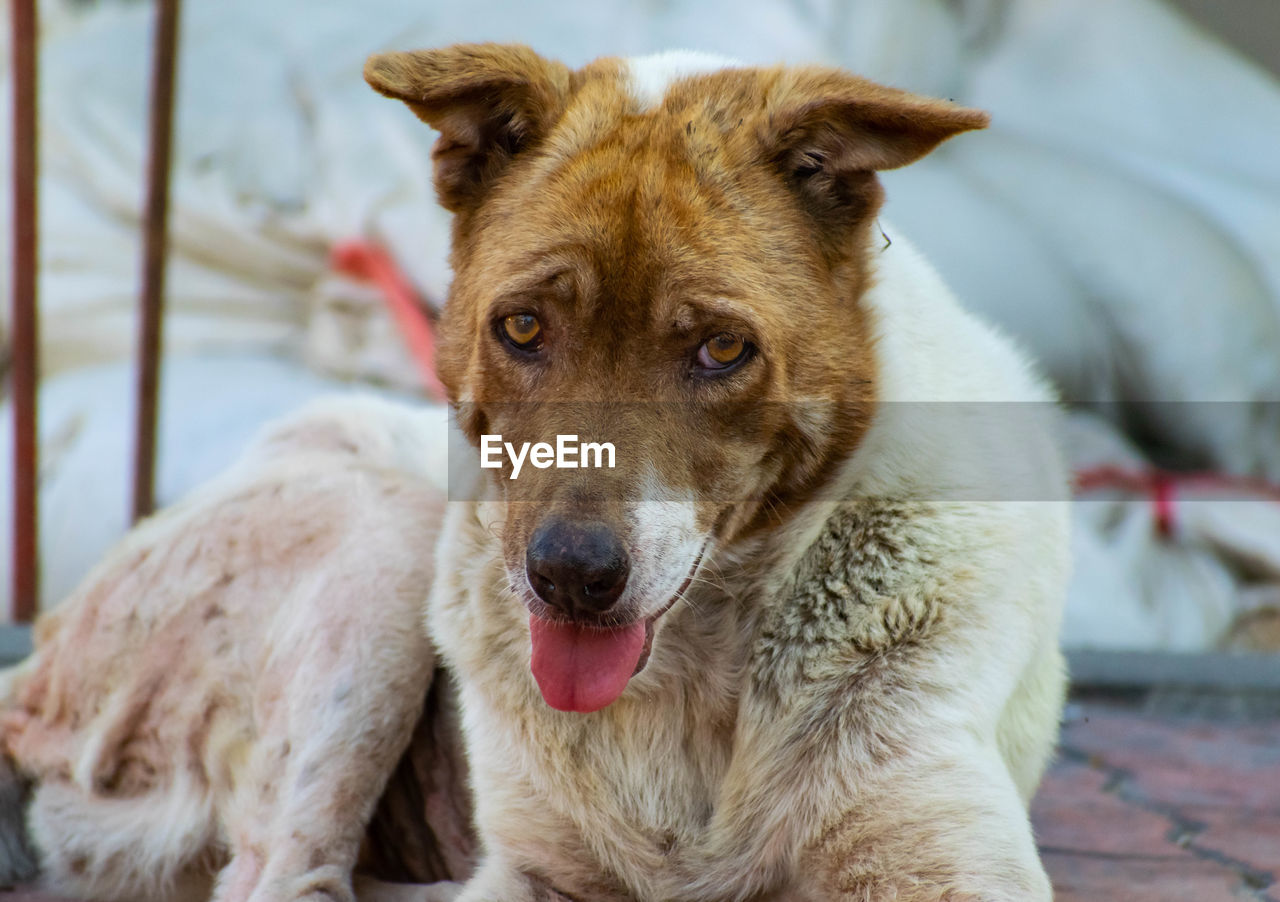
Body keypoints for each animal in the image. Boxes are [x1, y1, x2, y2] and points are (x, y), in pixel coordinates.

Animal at [0, 45, 1070, 900]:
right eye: (521, 328)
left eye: (723, 349)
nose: (570, 577)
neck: (693, 685)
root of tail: (38, 662)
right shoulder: (537, 866)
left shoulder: (939, 856)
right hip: (383, 538)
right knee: (281, 876)